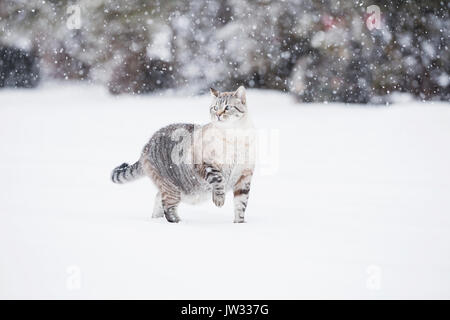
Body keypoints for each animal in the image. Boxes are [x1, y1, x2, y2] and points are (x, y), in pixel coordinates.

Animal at [111, 86, 255, 224]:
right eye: (215, 108)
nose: (218, 115)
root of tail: (147, 145)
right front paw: (219, 199)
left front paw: (239, 224)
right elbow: (218, 180)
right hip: (173, 189)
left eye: (227, 107)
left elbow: (241, 205)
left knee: (158, 198)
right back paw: (179, 223)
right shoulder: (205, 164)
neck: (234, 138)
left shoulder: (244, 177)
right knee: (168, 207)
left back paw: (156, 219)